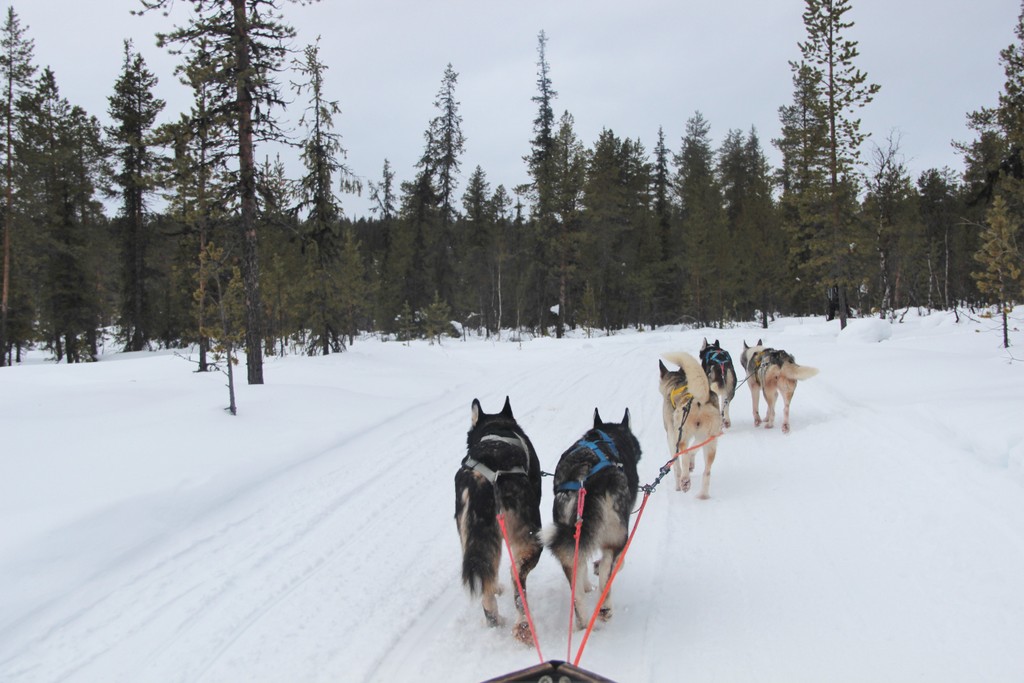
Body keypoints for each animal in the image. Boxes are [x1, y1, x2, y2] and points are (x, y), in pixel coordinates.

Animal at [456, 395, 544, 643]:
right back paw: (523, 627)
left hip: (473, 538)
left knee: (487, 589)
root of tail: (483, 479)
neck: (495, 428)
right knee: (518, 583)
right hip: (531, 541)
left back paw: (495, 618)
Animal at [544, 405, 638, 630]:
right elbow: (618, 562)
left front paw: (587, 584)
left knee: (576, 588)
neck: (607, 436)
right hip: (616, 535)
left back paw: (584, 622)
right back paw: (604, 607)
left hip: (567, 538)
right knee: (606, 571)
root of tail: (585, 477)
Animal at [659, 350, 724, 499]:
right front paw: (691, 464)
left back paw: (685, 481)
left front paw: (677, 485)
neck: (675, 384)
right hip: (710, 442)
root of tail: (700, 399)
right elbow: (693, 449)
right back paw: (703, 495)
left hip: (682, 435)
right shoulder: (700, 437)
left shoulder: (671, 437)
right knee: (707, 471)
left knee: (684, 455)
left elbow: (676, 464)